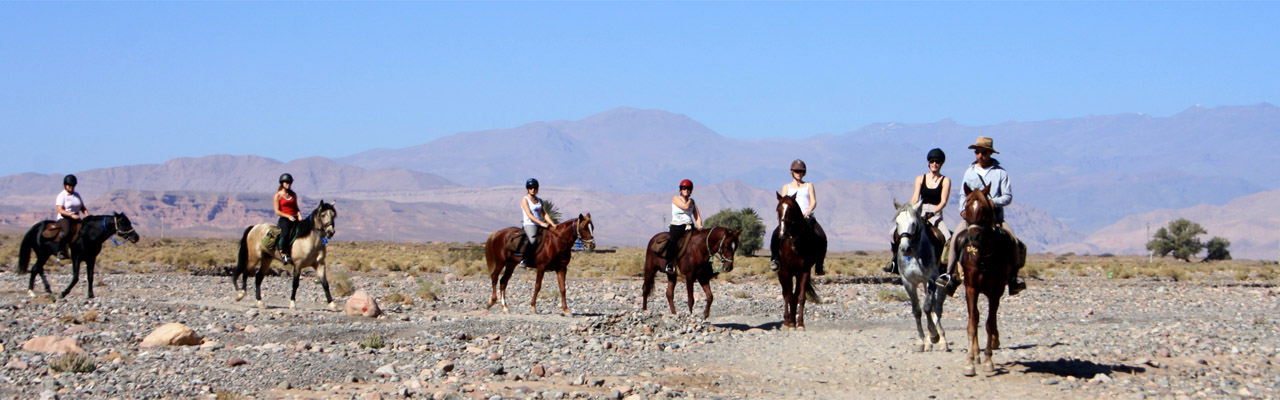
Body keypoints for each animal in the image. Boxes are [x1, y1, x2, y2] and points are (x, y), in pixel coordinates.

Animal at [768, 192, 819, 330]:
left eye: (791, 209)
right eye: (778, 209)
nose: (783, 232)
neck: (794, 243)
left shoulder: (804, 271)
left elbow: (800, 297)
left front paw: (800, 324)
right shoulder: (786, 272)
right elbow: (788, 296)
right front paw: (789, 324)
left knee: (795, 296)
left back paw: (793, 321)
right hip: (782, 274)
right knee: (786, 294)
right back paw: (788, 321)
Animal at [896, 200, 947, 348]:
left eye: (913, 223)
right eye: (897, 223)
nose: (904, 248)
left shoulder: (930, 279)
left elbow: (927, 307)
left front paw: (934, 335)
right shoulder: (908, 282)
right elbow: (917, 310)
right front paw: (921, 340)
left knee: (937, 306)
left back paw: (942, 338)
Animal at [957, 185, 1024, 376]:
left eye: (985, 209)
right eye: (967, 207)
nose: (974, 237)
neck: (983, 257)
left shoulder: (995, 292)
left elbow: (989, 324)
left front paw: (988, 360)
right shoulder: (971, 289)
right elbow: (972, 324)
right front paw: (970, 362)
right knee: (975, 317)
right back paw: (975, 354)